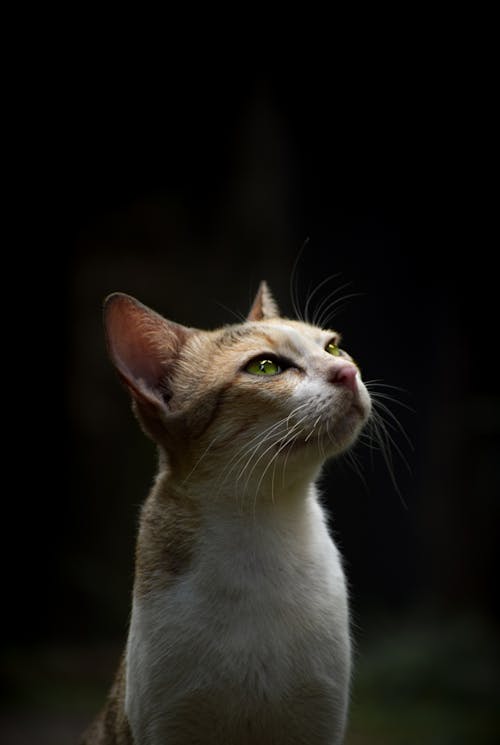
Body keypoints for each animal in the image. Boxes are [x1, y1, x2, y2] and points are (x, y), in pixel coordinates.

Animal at [81, 280, 372, 744]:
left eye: (333, 347)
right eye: (266, 367)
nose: (347, 372)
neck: (262, 529)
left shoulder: (319, 720)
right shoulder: (170, 723)